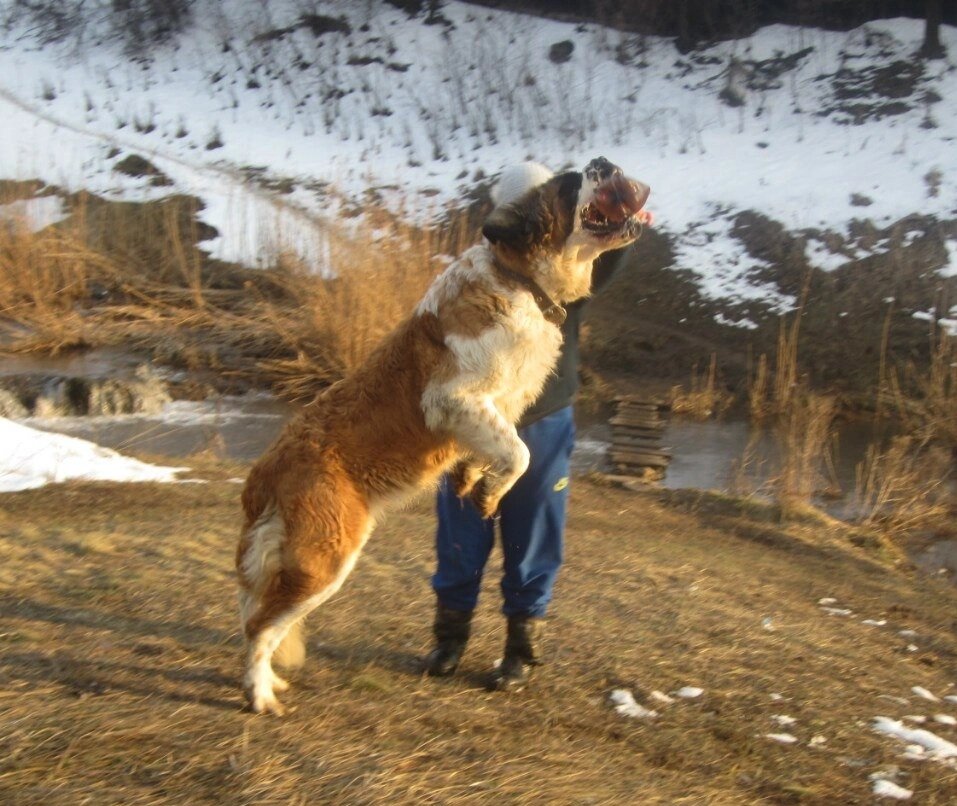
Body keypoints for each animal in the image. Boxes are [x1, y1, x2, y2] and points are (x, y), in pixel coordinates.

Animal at [237, 156, 648, 712]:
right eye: (570, 183)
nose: (604, 163)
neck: (520, 280)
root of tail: (267, 466)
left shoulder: (495, 410)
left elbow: (498, 448)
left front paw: (474, 479)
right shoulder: (455, 399)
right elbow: (519, 453)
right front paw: (492, 488)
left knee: (268, 618)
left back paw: (272, 681)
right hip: (326, 556)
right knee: (259, 625)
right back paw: (260, 694)